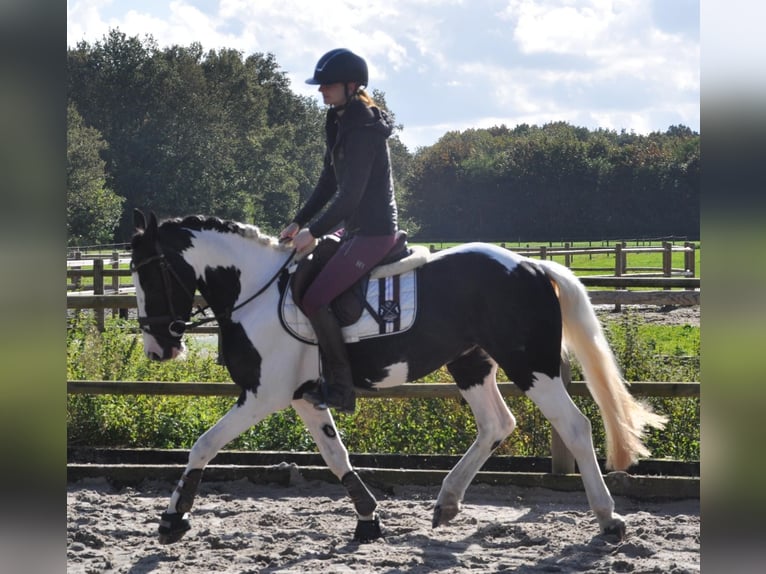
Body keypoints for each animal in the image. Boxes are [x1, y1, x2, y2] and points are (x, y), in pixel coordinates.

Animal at [130, 210, 664, 544]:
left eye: (146, 272)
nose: (158, 348)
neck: (254, 291)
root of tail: (529, 264)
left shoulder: (264, 394)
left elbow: (203, 444)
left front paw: (173, 518)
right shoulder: (304, 396)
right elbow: (335, 455)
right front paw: (368, 518)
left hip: (531, 365)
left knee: (574, 427)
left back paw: (608, 519)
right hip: (470, 363)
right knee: (497, 424)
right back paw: (447, 502)